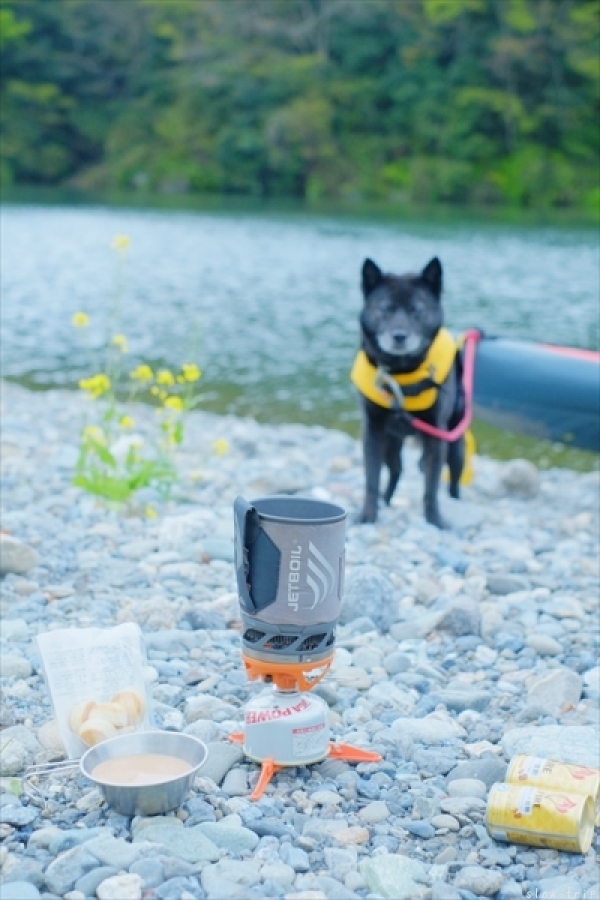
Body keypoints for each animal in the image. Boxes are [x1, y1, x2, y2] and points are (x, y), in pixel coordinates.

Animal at [350, 255, 466, 528]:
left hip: (455, 447)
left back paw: (457, 501)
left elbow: (431, 487)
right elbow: (371, 478)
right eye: (386, 308)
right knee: (395, 471)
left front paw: (435, 520)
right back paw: (385, 501)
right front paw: (368, 515)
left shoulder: (436, 437)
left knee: (453, 481)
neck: (401, 374)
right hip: (391, 445)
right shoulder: (372, 432)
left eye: (416, 309)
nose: (399, 336)